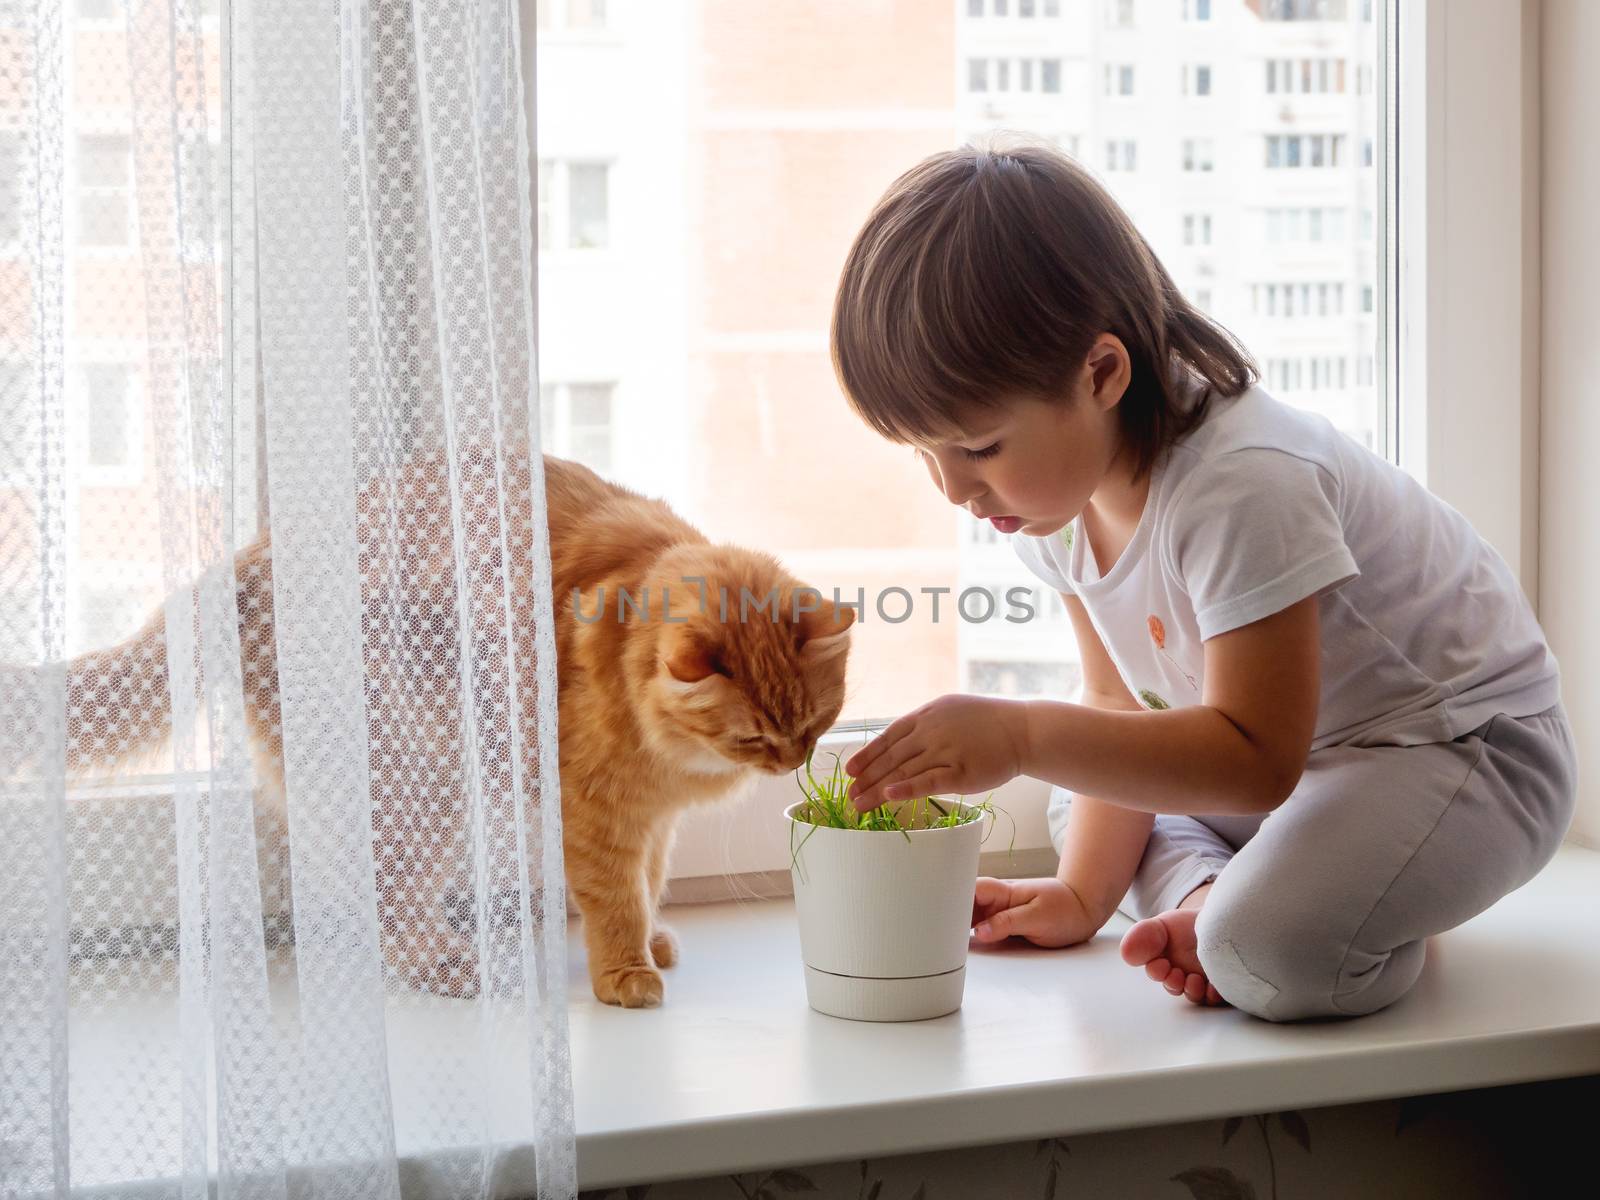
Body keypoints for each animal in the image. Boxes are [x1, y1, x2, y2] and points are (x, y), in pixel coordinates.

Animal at [46, 454, 851, 1011]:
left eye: (814, 727)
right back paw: (449, 966)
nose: (789, 763)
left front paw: (651, 940)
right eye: (755, 738)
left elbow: (649, 883)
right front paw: (626, 971)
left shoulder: (651, 817)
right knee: (385, 901)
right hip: (429, 781)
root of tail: (249, 557)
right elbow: (616, 895)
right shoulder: (596, 811)